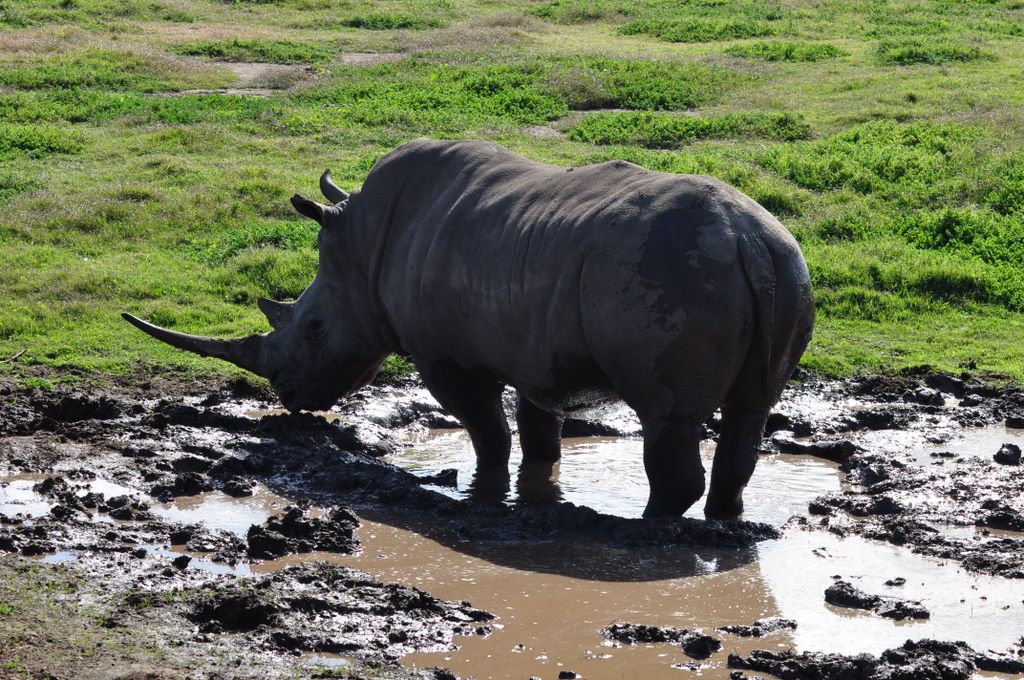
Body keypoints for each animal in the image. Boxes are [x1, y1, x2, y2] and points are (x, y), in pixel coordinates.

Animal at [123, 139, 814, 519]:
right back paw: (723, 520)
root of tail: (746, 240)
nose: (289, 399)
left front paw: (485, 494)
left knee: (668, 417)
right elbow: (539, 429)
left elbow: (488, 432)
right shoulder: (539, 347)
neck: (362, 252)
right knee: (750, 412)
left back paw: (648, 528)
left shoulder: (443, 357)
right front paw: (536, 492)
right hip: (783, 265)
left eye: (314, 329)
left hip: (674, 276)